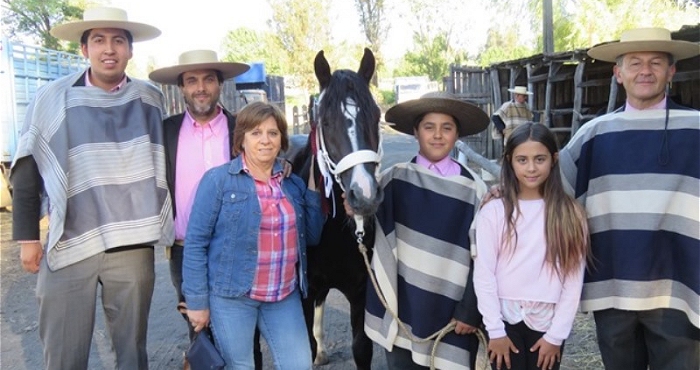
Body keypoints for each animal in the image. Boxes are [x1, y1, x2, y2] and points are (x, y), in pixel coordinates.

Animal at [286, 49, 382, 370]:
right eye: (326, 122)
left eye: (376, 116)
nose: (364, 195)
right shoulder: (303, 295)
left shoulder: (360, 291)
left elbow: (361, 348)